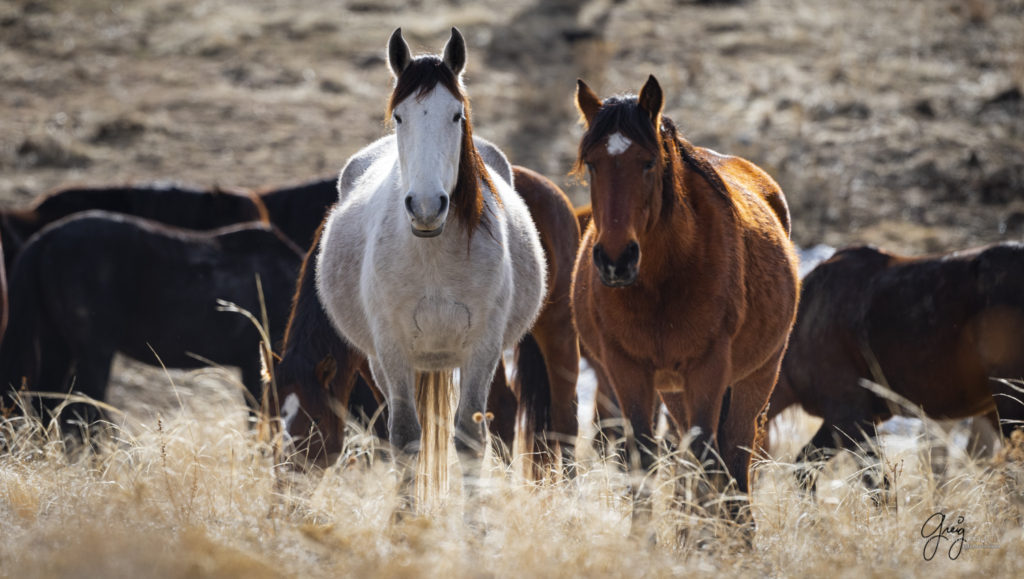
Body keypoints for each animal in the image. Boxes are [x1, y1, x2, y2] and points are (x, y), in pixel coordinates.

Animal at [0, 210, 303, 422]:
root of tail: (46, 238)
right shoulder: (256, 363)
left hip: (58, 347)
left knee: (48, 405)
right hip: (93, 353)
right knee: (85, 412)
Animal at [315, 26, 548, 495]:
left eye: (456, 115)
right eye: (400, 117)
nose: (426, 207)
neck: (433, 255)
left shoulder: (483, 348)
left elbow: (470, 439)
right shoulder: (392, 349)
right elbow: (406, 438)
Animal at [573, 76, 794, 518]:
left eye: (648, 162)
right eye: (592, 163)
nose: (616, 260)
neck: (661, 283)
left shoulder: (708, 369)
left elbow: (711, 459)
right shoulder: (628, 368)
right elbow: (643, 459)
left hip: (756, 377)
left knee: (734, 456)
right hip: (674, 391)